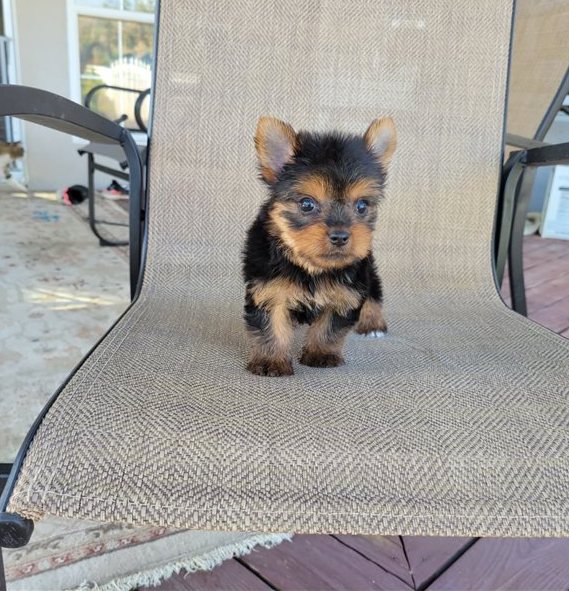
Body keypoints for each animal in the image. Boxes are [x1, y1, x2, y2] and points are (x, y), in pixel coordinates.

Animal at [243, 116, 394, 376]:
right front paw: (271, 361)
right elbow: (271, 326)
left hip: (367, 266)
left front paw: (321, 354)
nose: (340, 236)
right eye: (307, 204)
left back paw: (373, 323)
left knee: (374, 291)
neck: (310, 266)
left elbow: (329, 327)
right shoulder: (268, 289)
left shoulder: (346, 293)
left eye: (362, 206)